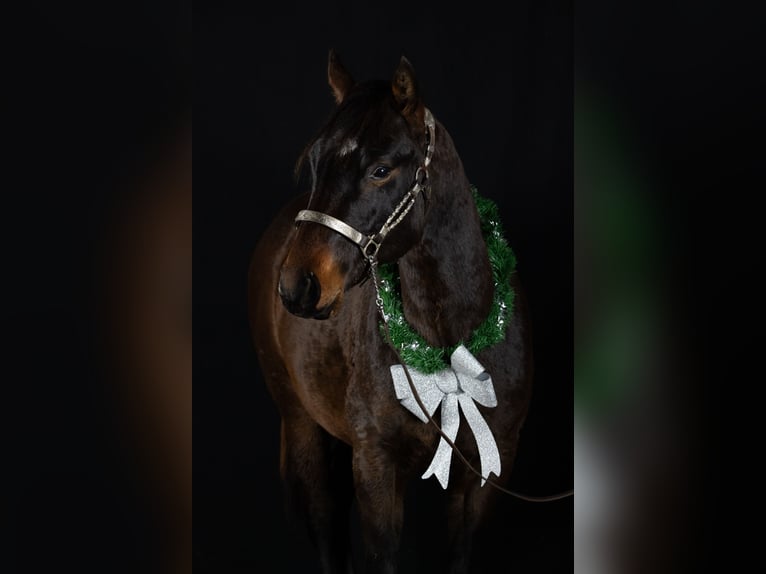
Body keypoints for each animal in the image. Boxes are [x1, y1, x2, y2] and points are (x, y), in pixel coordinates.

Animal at [248, 50, 534, 574]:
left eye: (381, 170)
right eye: (314, 162)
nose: (297, 286)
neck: (448, 346)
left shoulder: (485, 474)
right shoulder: (376, 467)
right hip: (302, 426)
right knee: (326, 527)